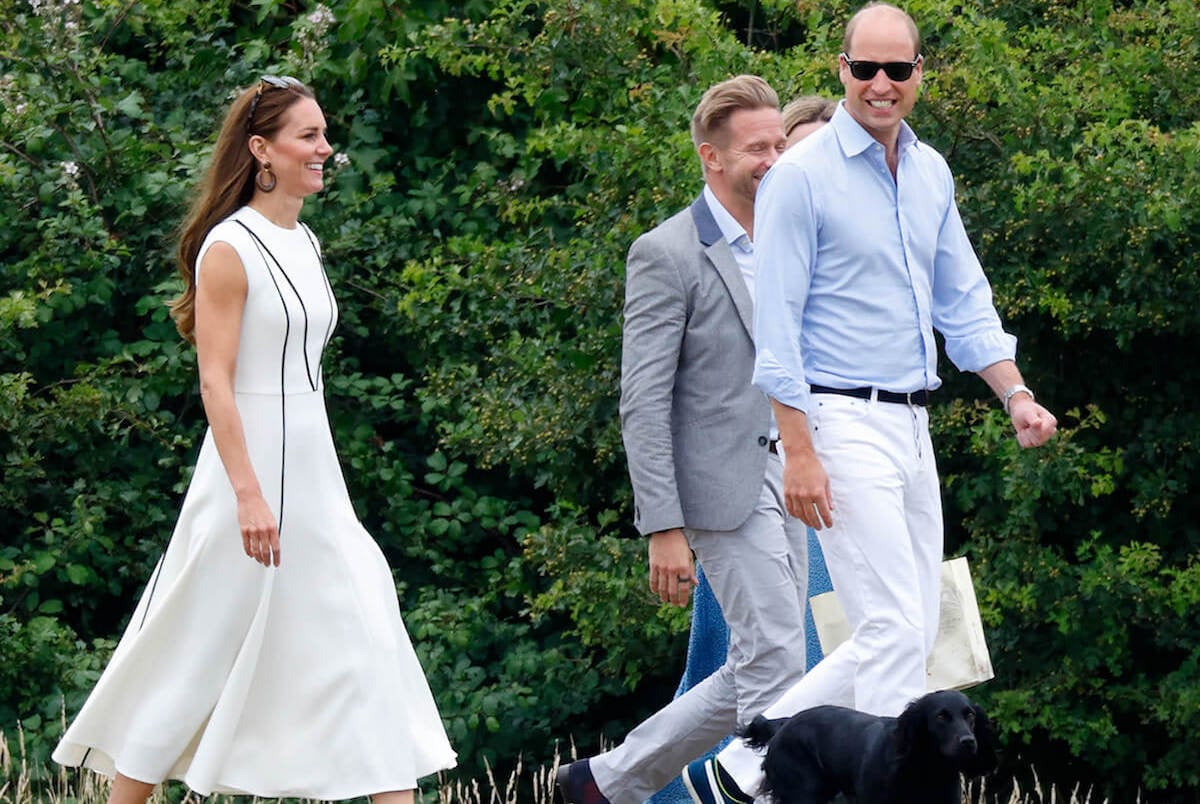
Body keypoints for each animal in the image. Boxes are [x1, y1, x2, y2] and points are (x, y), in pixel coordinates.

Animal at [739, 686, 993, 804]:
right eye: (941, 716)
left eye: (970, 715)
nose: (969, 742)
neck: (927, 770)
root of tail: (782, 725)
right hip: (804, 794)